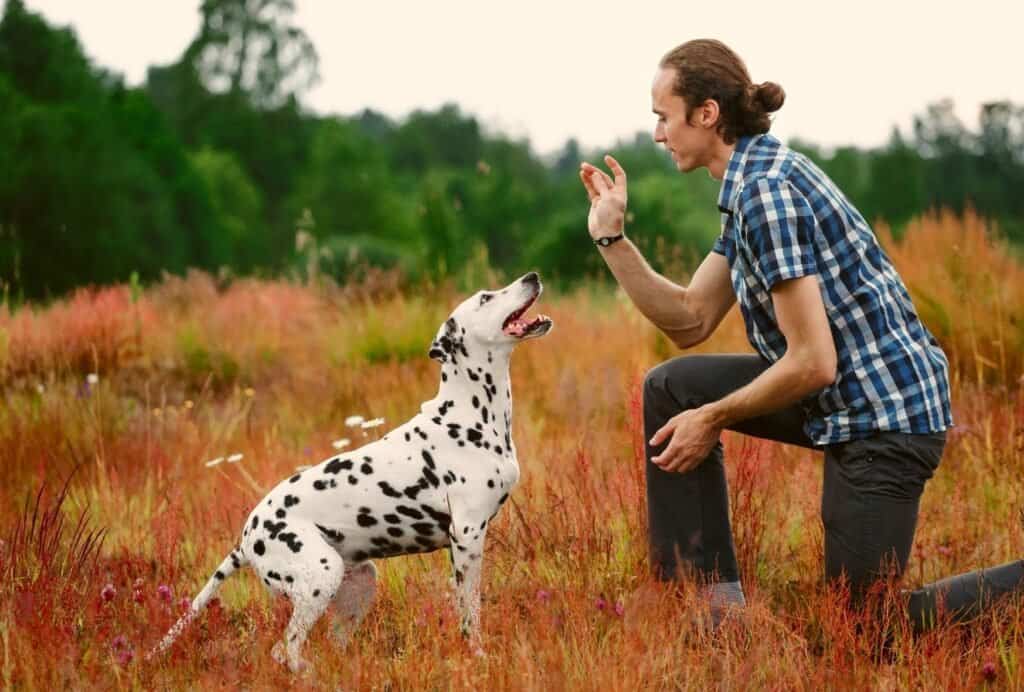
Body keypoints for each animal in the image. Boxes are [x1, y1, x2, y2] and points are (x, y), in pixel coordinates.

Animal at [149, 270, 552, 671]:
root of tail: (246, 539)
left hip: (358, 583)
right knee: (286, 649)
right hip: (320, 577)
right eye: (486, 298)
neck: (470, 412)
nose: (532, 276)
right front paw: (477, 655)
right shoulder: (467, 537)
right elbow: (470, 613)